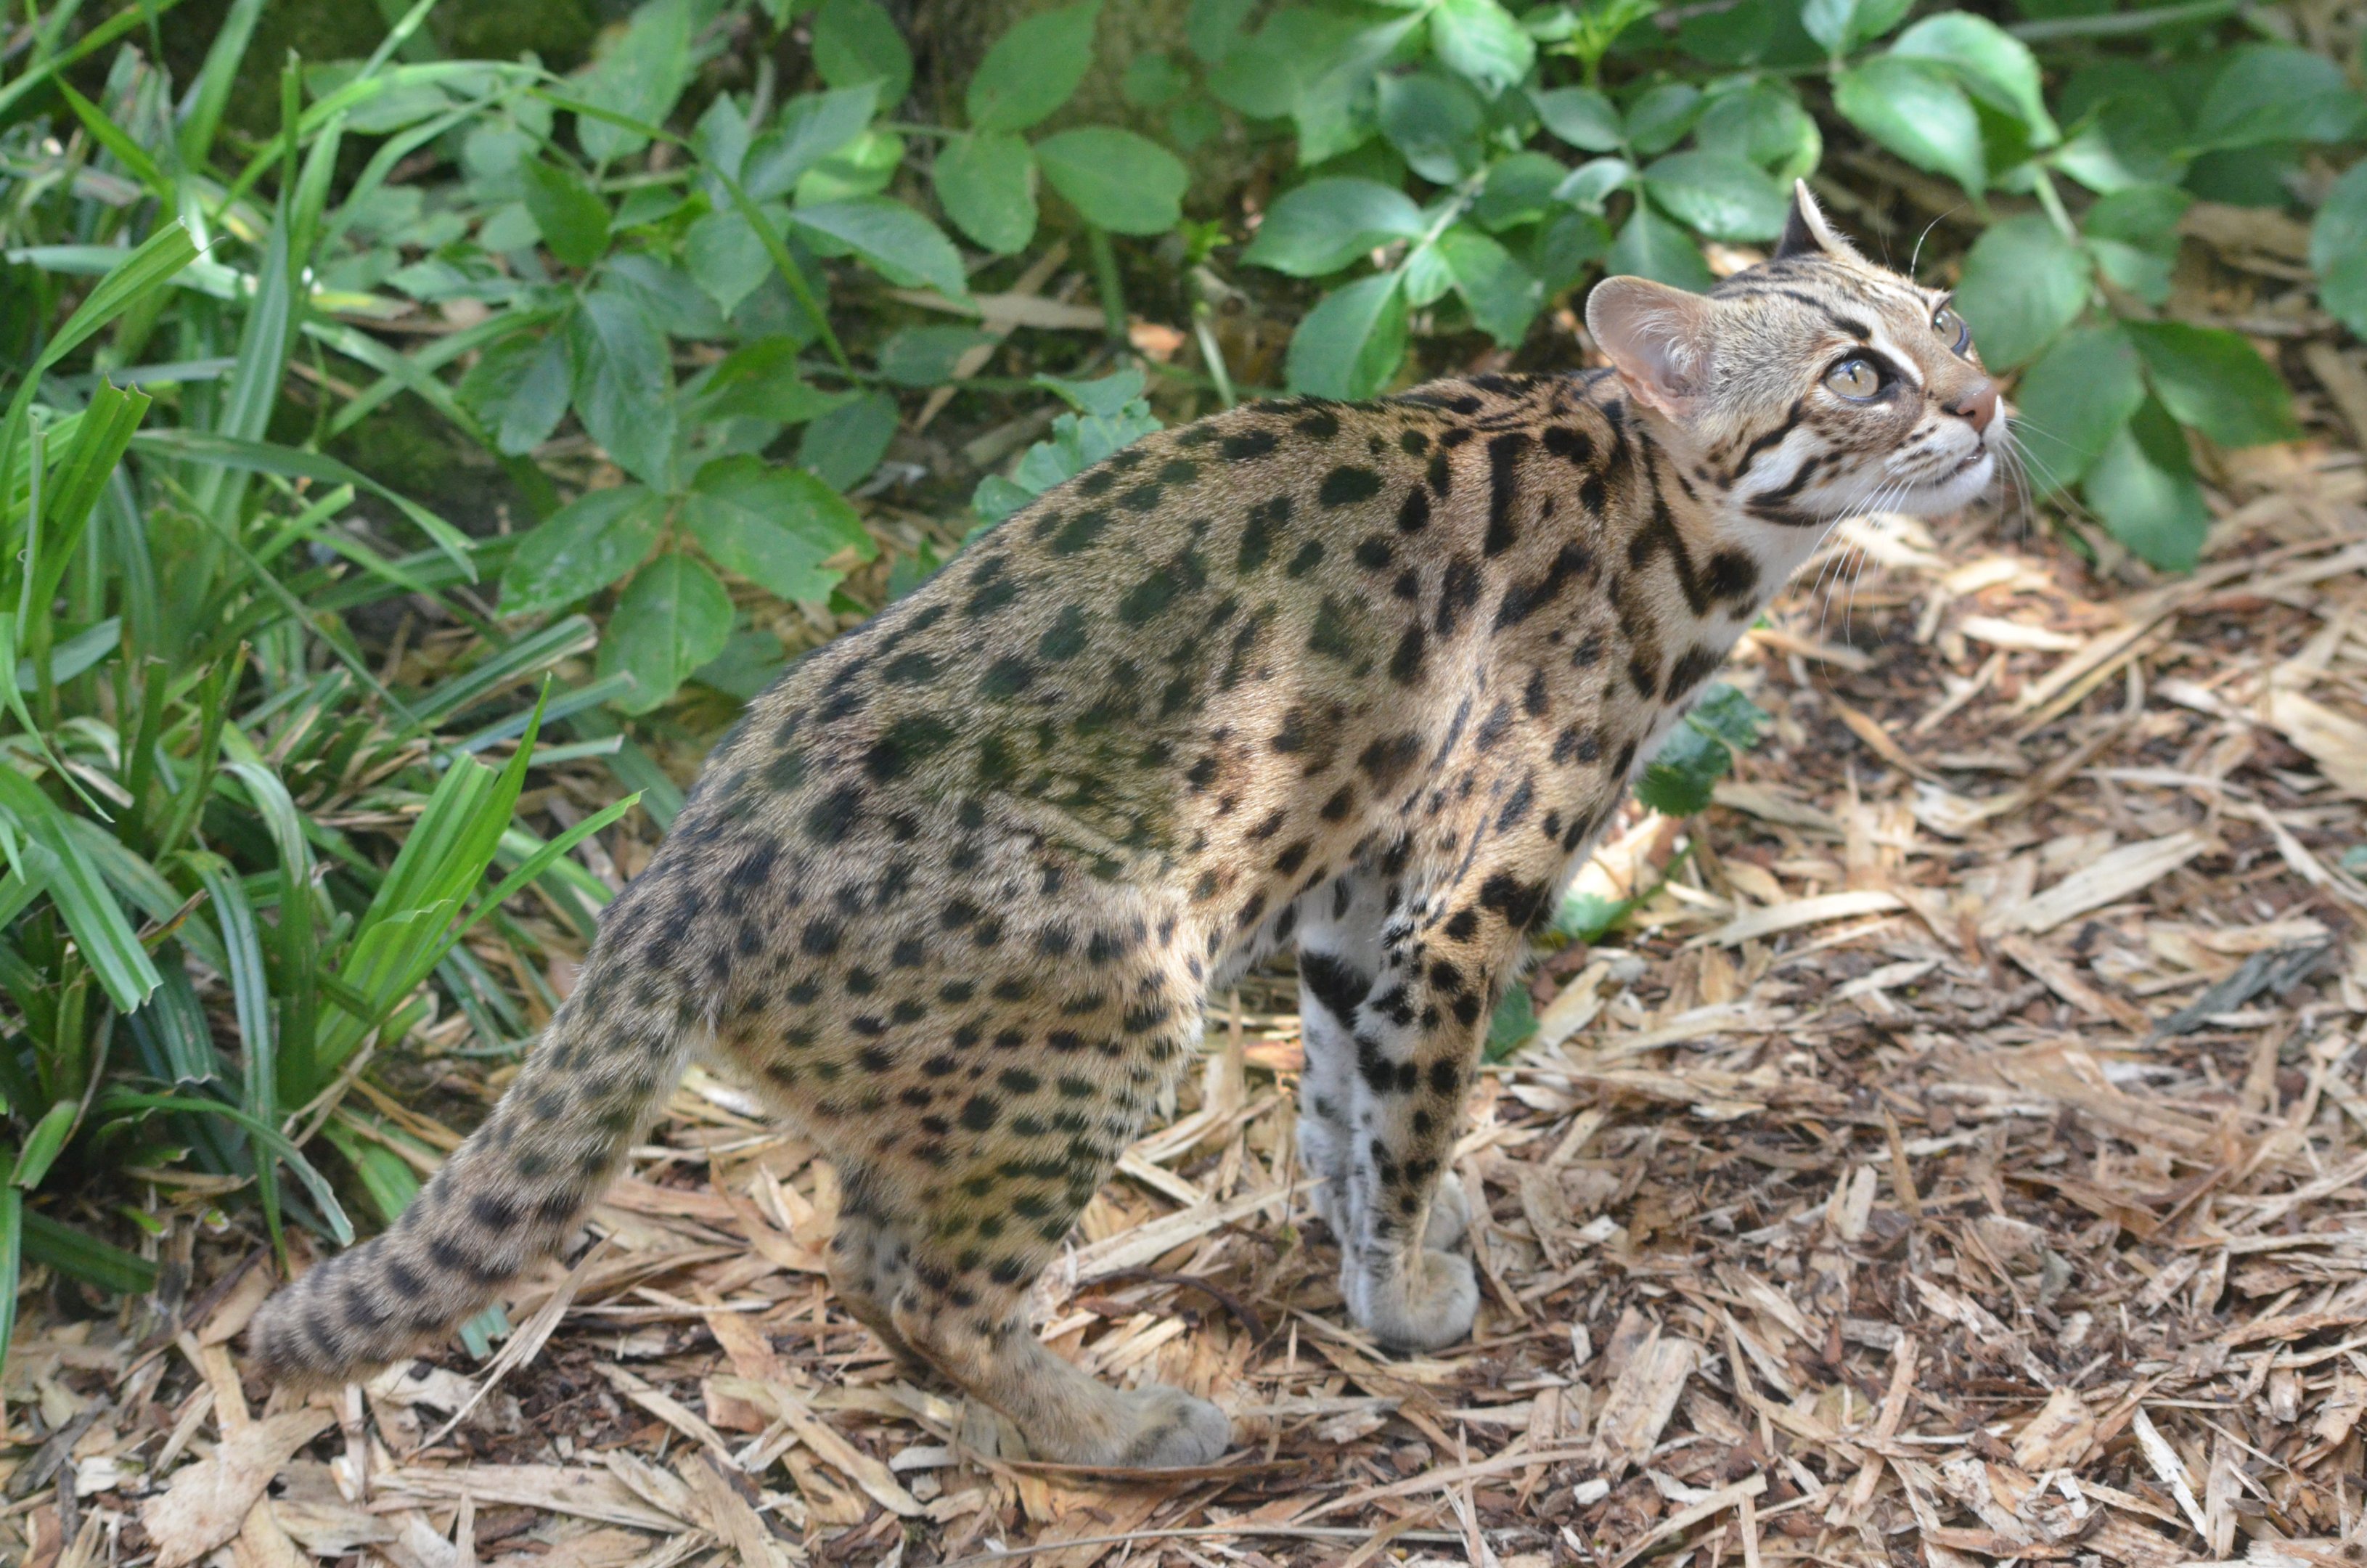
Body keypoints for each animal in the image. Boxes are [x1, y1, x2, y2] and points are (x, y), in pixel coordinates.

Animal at [251, 183, 2004, 1468]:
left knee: (872, 1245)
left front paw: (1366, 1228)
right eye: (1857, 373)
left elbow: (1341, 1094)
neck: (1668, 524)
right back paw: (1125, 1430)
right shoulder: (1464, 892)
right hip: (1112, 994)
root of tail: (677, 877)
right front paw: (1405, 1287)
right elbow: (1413, 1103)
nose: (1989, 400)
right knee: (917, 1287)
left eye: (1945, 318)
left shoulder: (1353, 891)